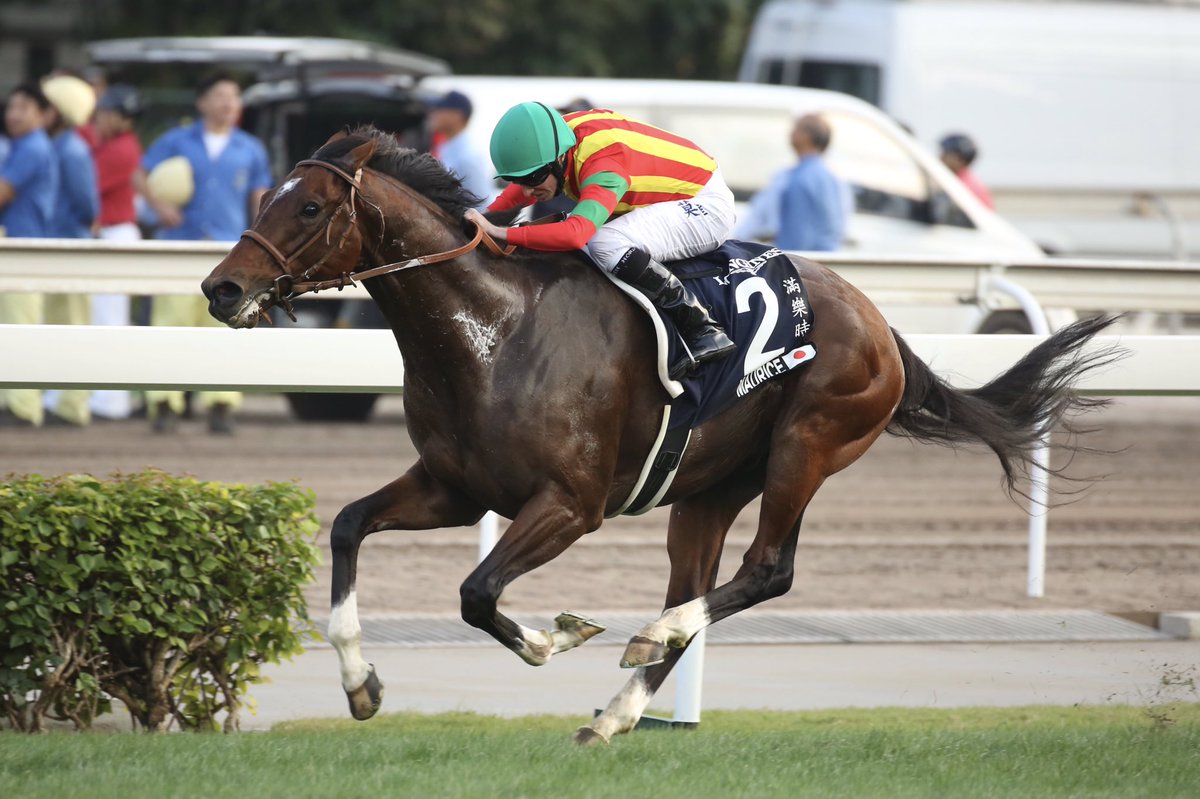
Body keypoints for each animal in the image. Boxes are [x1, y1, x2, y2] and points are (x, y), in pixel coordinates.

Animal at [202, 127, 1116, 744]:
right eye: (264, 195)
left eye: (309, 205)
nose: (221, 288)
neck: (493, 329)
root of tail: (882, 322)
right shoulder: (454, 487)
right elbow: (350, 525)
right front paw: (361, 683)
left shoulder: (570, 504)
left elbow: (476, 593)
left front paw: (556, 636)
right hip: (709, 487)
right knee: (701, 584)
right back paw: (616, 713)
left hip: (810, 443)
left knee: (766, 570)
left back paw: (646, 640)